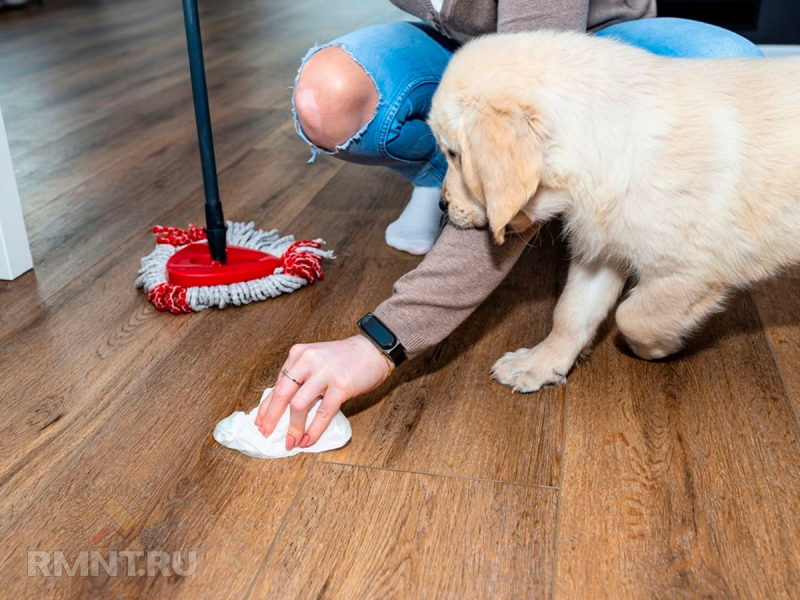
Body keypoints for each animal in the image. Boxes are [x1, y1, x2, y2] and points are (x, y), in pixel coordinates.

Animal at [428, 29, 800, 394]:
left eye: (453, 153)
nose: (442, 205)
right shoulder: (601, 251)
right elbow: (570, 313)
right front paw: (540, 363)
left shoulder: (692, 270)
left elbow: (633, 316)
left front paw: (656, 347)